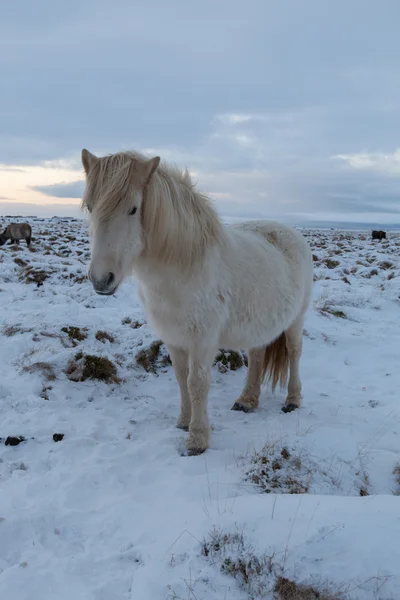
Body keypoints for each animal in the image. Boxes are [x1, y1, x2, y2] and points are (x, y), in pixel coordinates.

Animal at [81, 149, 312, 454]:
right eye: (90, 207)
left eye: (132, 209)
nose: (100, 279)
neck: (183, 267)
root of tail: (290, 232)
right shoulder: (173, 337)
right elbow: (181, 377)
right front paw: (183, 421)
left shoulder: (203, 340)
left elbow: (197, 382)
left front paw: (198, 438)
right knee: (257, 355)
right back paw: (246, 400)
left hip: (297, 319)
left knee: (295, 352)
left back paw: (292, 400)